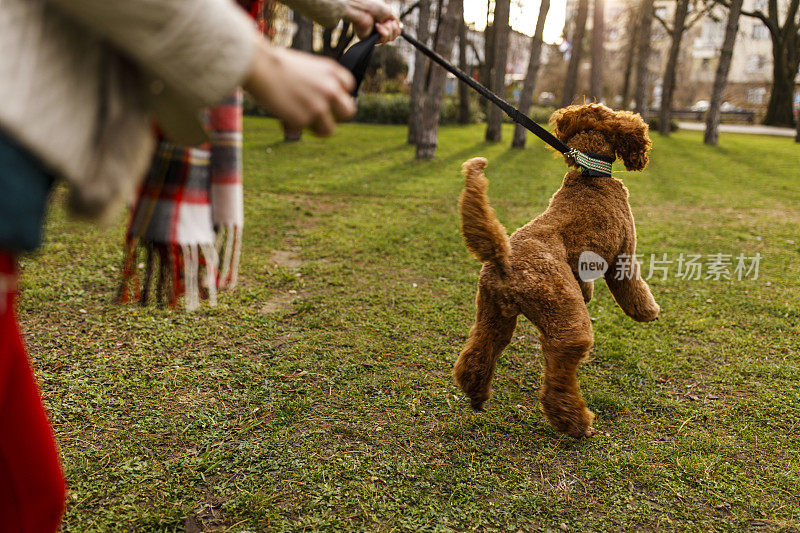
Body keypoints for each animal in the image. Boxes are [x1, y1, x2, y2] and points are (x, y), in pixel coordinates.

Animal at [454, 103, 660, 436]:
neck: (590, 176)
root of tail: (504, 261)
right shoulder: (623, 253)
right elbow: (633, 289)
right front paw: (648, 312)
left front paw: (589, 292)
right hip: (567, 321)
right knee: (558, 377)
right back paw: (577, 423)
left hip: (493, 314)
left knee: (480, 352)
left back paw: (476, 394)